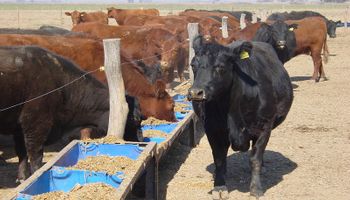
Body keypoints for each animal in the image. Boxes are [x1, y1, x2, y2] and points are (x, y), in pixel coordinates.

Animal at [0, 45, 142, 181]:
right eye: (134, 119)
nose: (140, 141)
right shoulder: (36, 124)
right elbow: (35, 155)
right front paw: (36, 175)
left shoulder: (19, 128)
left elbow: (22, 153)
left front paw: (23, 178)